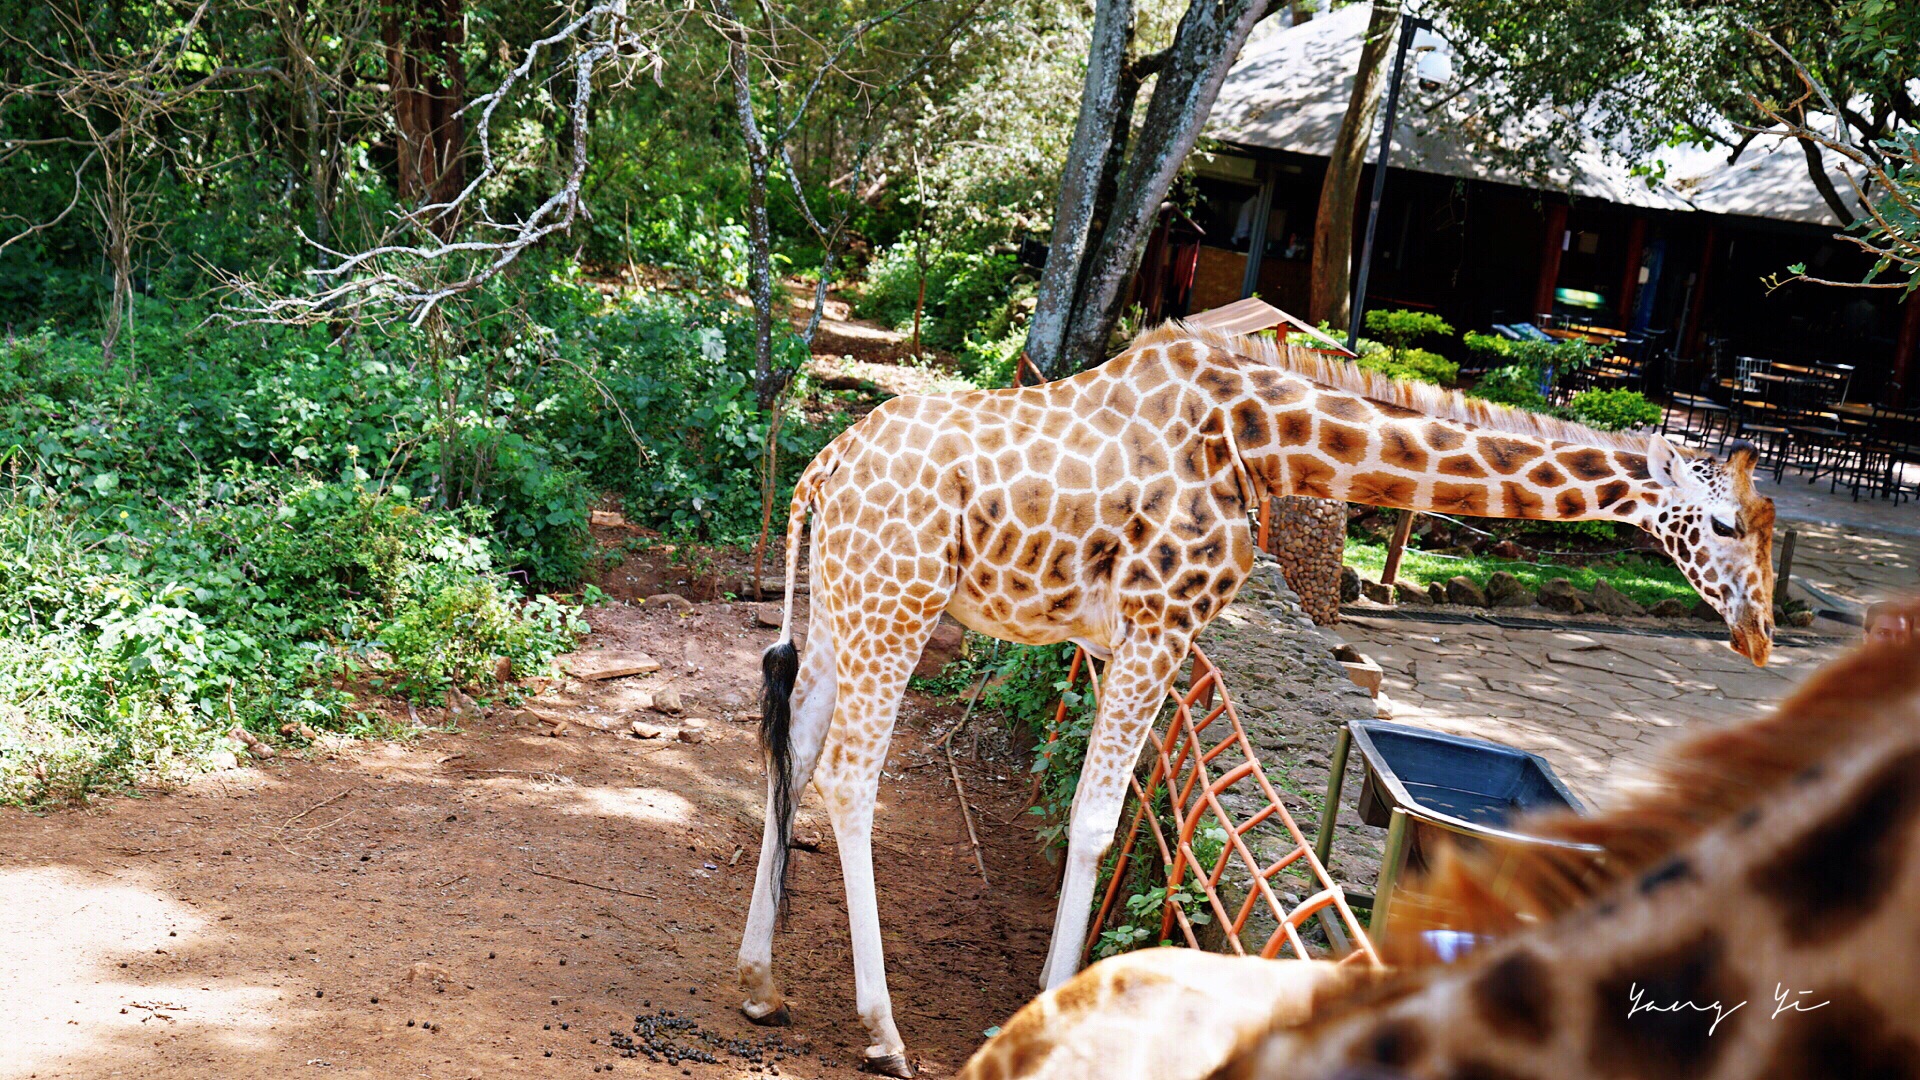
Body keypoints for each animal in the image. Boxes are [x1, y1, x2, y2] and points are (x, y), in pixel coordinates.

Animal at [729, 317, 1766, 1068]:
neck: (1265, 440)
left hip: (847, 607)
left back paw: (760, 979)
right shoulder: (1159, 623)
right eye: (1722, 524)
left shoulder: (1138, 637)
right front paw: (1048, 1008)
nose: (1758, 632)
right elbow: (1098, 818)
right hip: (899, 604)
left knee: (798, 752)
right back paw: (883, 1032)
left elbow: (1118, 807)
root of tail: (819, 470)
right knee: (851, 776)